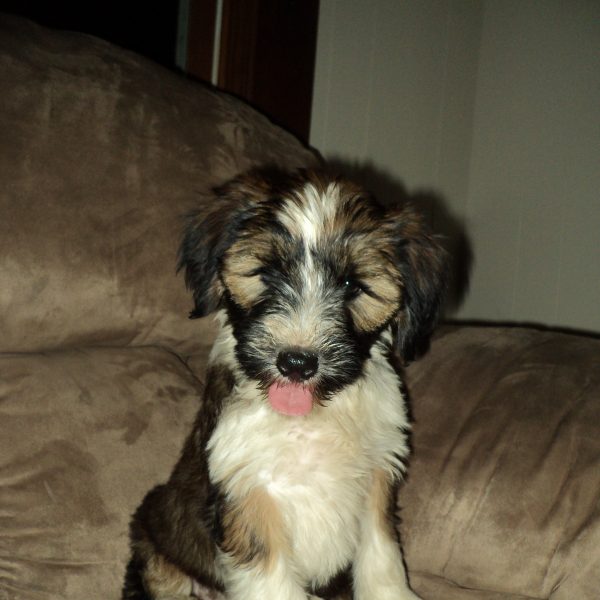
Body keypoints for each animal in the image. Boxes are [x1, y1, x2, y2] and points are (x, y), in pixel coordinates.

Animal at [124, 166, 448, 596]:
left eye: (351, 284)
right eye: (268, 273)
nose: (296, 362)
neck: (312, 419)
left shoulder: (377, 476)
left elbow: (382, 557)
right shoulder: (248, 490)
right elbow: (272, 579)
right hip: (156, 545)